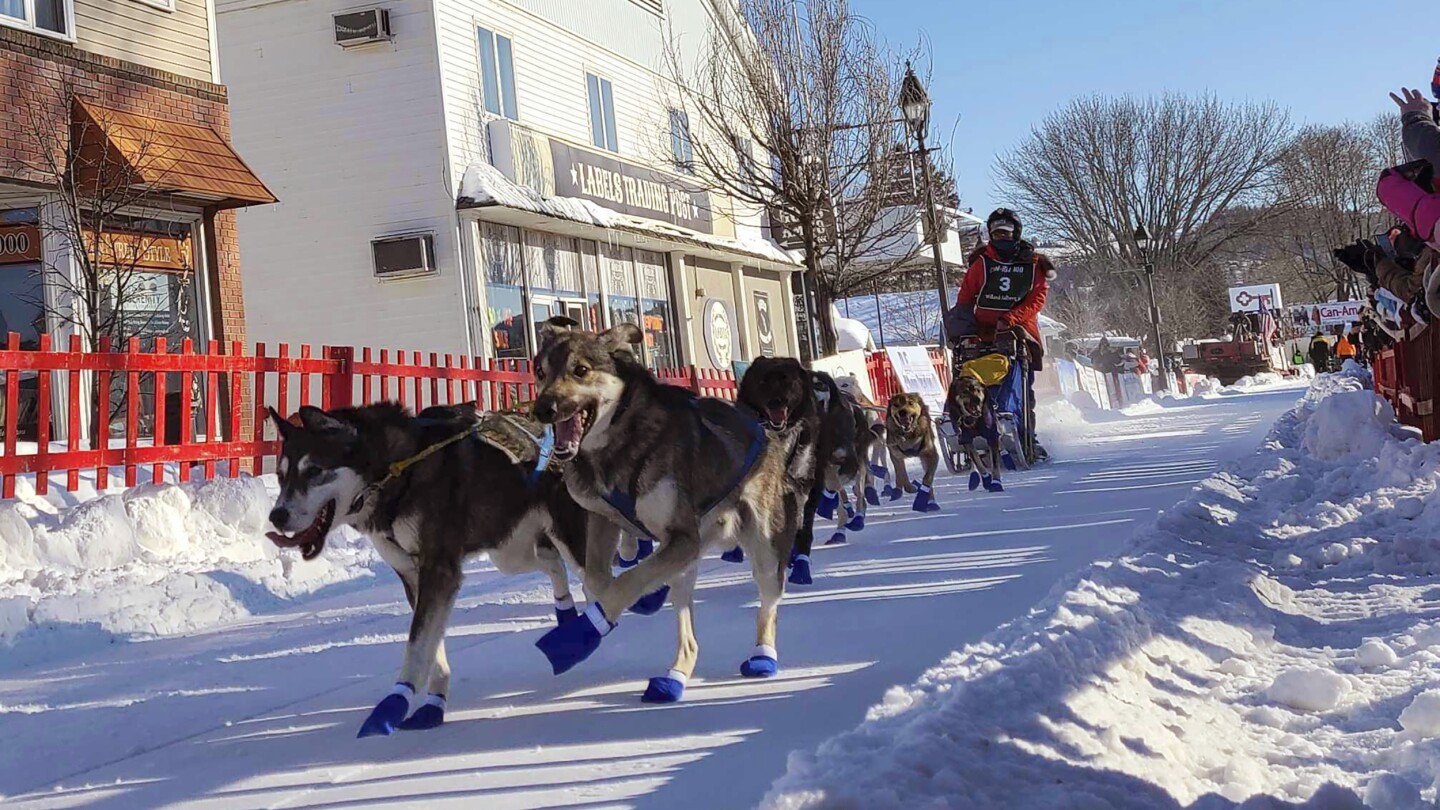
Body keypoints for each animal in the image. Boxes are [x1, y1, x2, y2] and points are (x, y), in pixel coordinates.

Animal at [267, 400, 587, 735]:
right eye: (280, 476)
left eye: (314, 471)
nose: (276, 516)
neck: (398, 471)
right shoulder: (415, 577)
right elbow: (432, 647)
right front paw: (433, 705)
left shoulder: (439, 570)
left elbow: (417, 644)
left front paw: (393, 704)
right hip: (509, 554)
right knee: (553, 562)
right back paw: (567, 619)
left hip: (567, 540)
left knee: (594, 579)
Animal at [529, 315, 806, 700]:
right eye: (540, 370)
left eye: (580, 370)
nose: (542, 409)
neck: (618, 443)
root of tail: (767, 434)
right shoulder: (602, 517)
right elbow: (600, 579)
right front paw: (636, 597)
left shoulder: (681, 538)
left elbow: (625, 582)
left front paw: (579, 636)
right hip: (689, 554)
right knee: (687, 632)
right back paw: (674, 675)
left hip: (763, 546)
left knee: (768, 604)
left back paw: (763, 656)